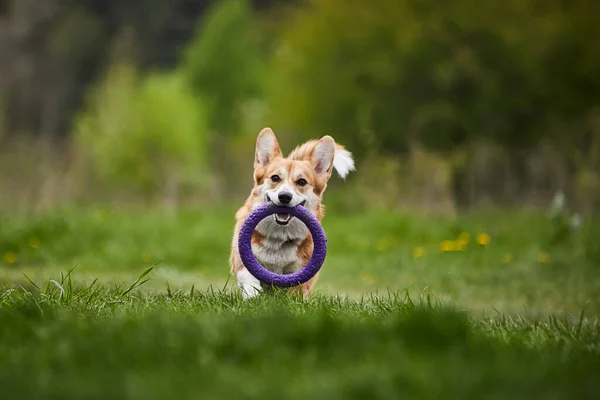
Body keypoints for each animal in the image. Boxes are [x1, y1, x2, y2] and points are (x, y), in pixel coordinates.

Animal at [229, 126, 352, 298]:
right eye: (275, 178)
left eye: (301, 182)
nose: (285, 197)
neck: (278, 236)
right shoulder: (241, 259)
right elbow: (248, 278)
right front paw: (252, 296)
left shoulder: (301, 271)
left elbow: (296, 290)